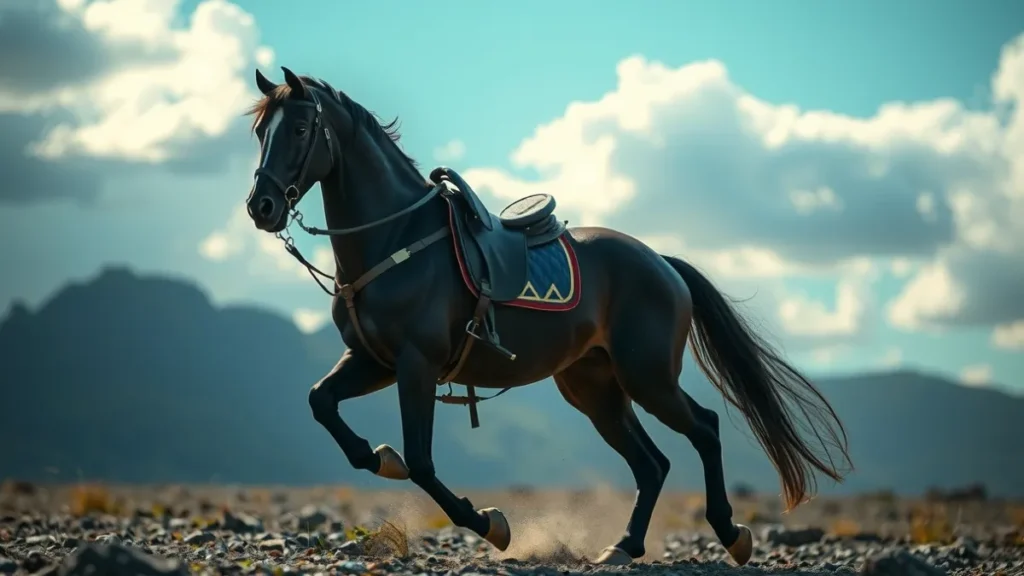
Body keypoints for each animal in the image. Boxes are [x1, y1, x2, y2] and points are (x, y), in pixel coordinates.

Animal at [243, 66, 853, 566]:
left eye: (301, 129)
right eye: (259, 132)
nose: (261, 207)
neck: (397, 238)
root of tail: (662, 263)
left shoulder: (416, 365)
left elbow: (421, 460)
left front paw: (489, 523)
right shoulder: (373, 361)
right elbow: (323, 404)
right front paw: (379, 457)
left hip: (648, 377)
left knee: (704, 428)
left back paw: (730, 533)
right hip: (594, 387)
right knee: (652, 464)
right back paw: (624, 546)